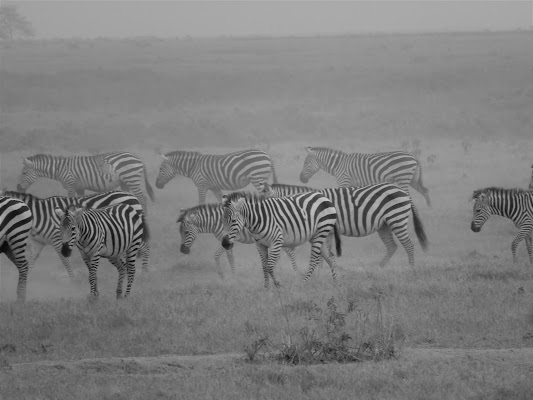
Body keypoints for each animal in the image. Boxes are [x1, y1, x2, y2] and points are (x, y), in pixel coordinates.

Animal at [3, 190, 151, 280]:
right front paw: (29, 279)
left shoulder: (57, 239)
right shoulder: (38, 242)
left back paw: (144, 274)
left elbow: (65, 260)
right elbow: (33, 260)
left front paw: (73, 280)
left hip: (132, 234)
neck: (39, 216)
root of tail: (133, 196)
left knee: (145, 248)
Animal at [17, 151, 154, 212]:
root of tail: (138, 159)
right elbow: (80, 202)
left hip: (132, 179)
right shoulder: (79, 187)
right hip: (125, 183)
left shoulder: (71, 184)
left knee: (143, 198)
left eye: (24, 173)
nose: (18, 188)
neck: (59, 169)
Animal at [258, 180, 428, 268]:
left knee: (408, 245)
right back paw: (379, 269)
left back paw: (411, 270)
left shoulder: (325, 229)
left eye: (266, 207)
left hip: (396, 218)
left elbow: (322, 254)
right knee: (392, 246)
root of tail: (402, 191)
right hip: (383, 225)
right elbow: (325, 253)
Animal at [298, 148, 430, 209]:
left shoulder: (344, 181)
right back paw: (430, 209)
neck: (338, 164)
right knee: (425, 191)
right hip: (413, 180)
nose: (301, 179)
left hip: (403, 179)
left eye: (306, 163)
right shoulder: (351, 183)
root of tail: (413, 156)